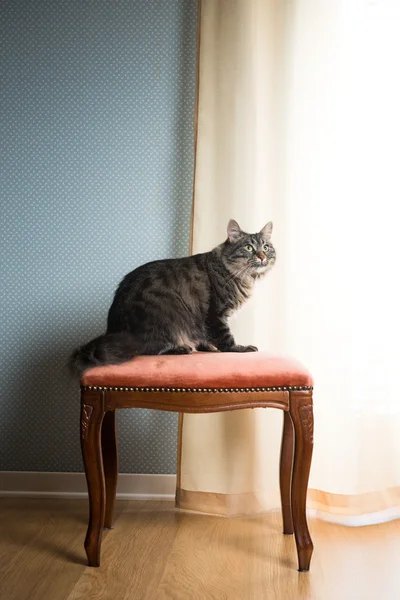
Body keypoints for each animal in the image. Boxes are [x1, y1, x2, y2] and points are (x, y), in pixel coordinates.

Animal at [69, 219, 276, 376]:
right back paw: (181, 348)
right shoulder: (216, 314)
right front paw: (239, 348)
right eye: (249, 248)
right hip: (164, 319)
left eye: (266, 247)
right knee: (147, 350)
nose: (262, 256)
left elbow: (206, 338)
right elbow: (225, 338)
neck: (241, 276)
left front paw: (209, 347)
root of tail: (115, 329)